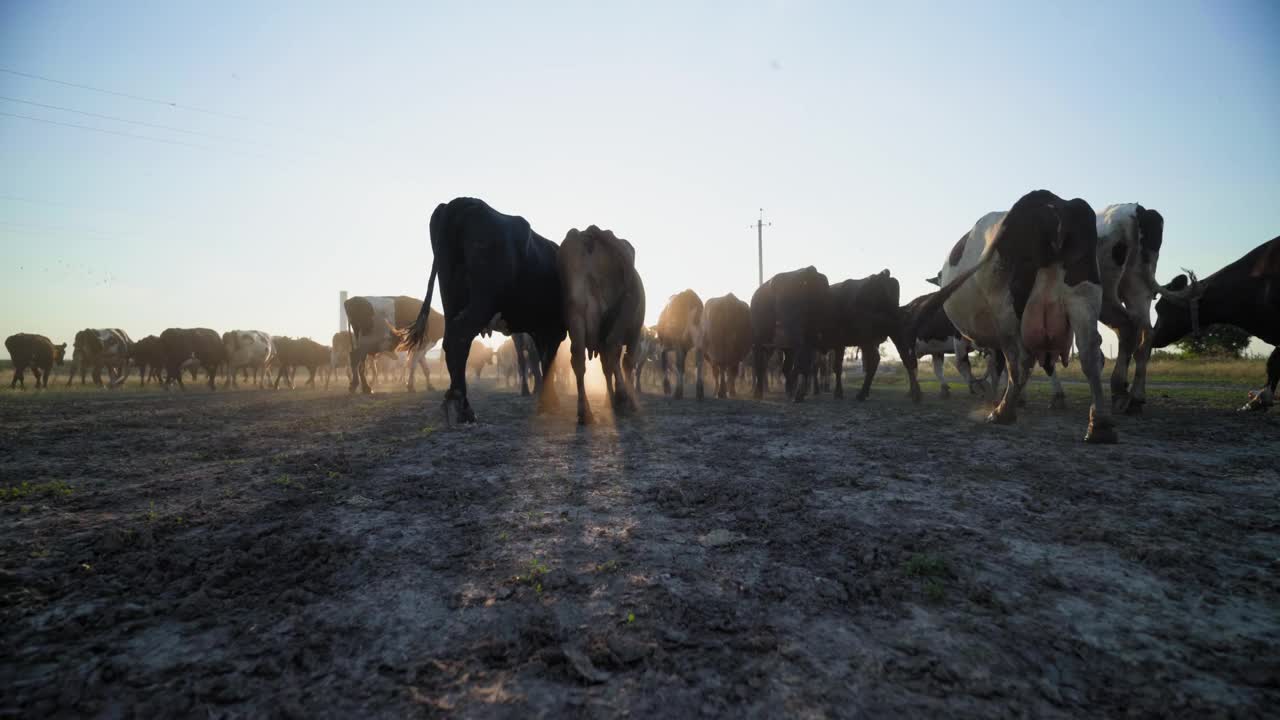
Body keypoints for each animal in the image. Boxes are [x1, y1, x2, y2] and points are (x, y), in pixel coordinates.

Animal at [394, 196, 565, 420]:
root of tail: (463, 202)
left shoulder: (541, 329)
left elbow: (543, 361)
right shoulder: (553, 328)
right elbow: (548, 361)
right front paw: (550, 402)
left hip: (451, 300)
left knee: (453, 343)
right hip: (482, 302)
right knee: (460, 337)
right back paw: (463, 407)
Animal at [558, 224, 645, 422]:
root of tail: (588, 234)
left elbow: (607, 367)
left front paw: (610, 400)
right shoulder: (633, 332)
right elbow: (624, 362)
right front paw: (625, 400)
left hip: (575, 313)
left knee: (579, 358)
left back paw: (585, 412)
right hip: (622, 315)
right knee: (615, 350)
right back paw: (622, 397)